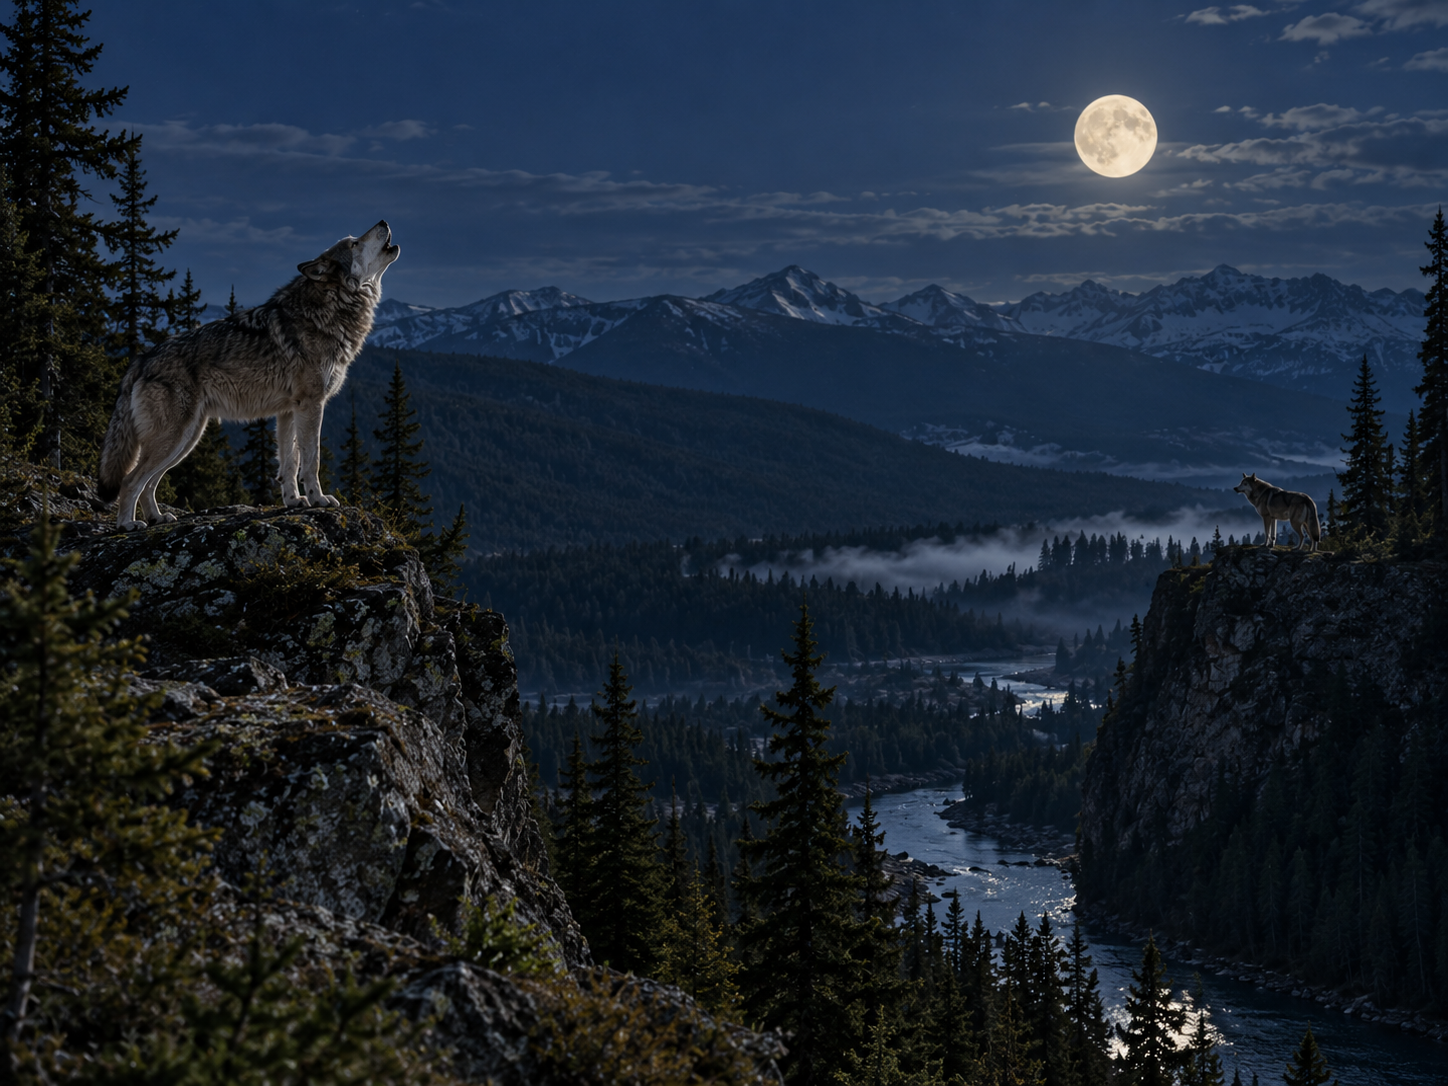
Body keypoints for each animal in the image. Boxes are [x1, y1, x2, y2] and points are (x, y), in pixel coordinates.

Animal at [98, 221, 400, 529]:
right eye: (354, 243)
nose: (384, 222)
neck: (330, 308)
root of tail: (143, 358)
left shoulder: (289, 411)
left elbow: (289, 463)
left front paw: (294, 501)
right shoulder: (312, 404)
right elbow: (311, 461)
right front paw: (318, 499)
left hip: (186, 440)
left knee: (149, 482)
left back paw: (157, 517)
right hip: (175, 438)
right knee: (130, 480)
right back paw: (127, 525)